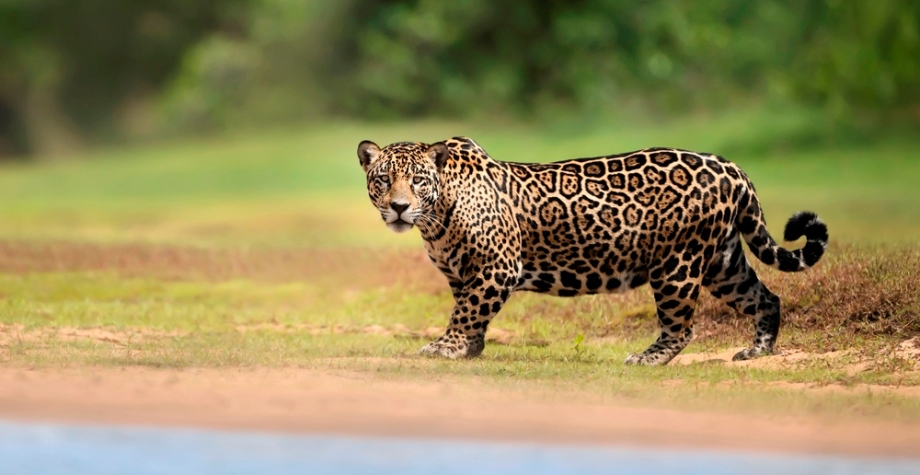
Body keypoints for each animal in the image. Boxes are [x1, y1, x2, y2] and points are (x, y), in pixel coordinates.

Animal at [356, 137, 828, 365]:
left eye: (417, 180)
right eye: (383, 179)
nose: (399, 207)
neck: (436, 215)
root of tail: (731, 167)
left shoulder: (497, 267)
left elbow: (466, 311)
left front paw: (446, 347)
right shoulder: (464, 274)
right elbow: (470, 310)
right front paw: (469, 348)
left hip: (677, 264)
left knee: (680, 327)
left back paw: (647, 358)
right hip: (723, 262)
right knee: (767, 297)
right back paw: (758, 350)